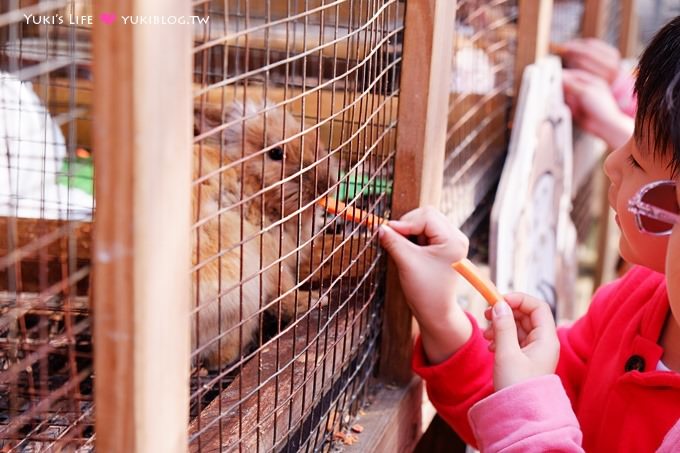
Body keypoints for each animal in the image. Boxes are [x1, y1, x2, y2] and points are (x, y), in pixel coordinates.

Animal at [191, 97, 340, 370]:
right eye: (276, 154)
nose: (326, 184)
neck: (253, 185)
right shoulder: (272, 264)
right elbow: (287, 294)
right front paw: (315, 300)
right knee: (222, 353)